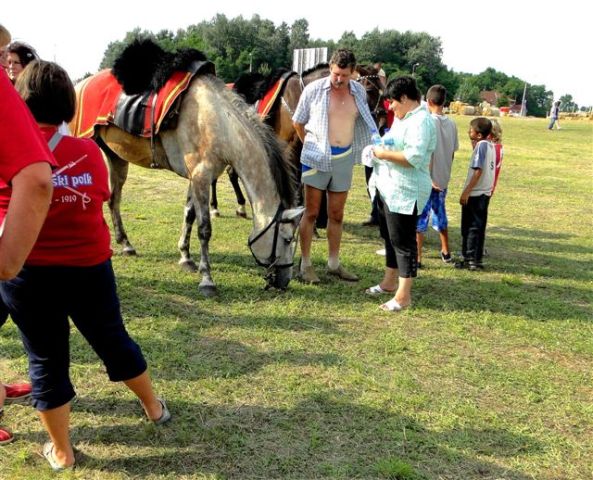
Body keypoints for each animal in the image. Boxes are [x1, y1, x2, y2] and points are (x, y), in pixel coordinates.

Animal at [72, 40, 303, 296]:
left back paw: (126, 244)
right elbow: (205, 228)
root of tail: (78, 86)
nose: (284, 281)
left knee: (114, 200)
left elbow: (189, 214)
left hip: (116, 157)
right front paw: (207, 279)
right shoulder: (202, 175)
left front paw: (185, 257)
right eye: (286, 239)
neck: (218, 120)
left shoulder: (198, 176)